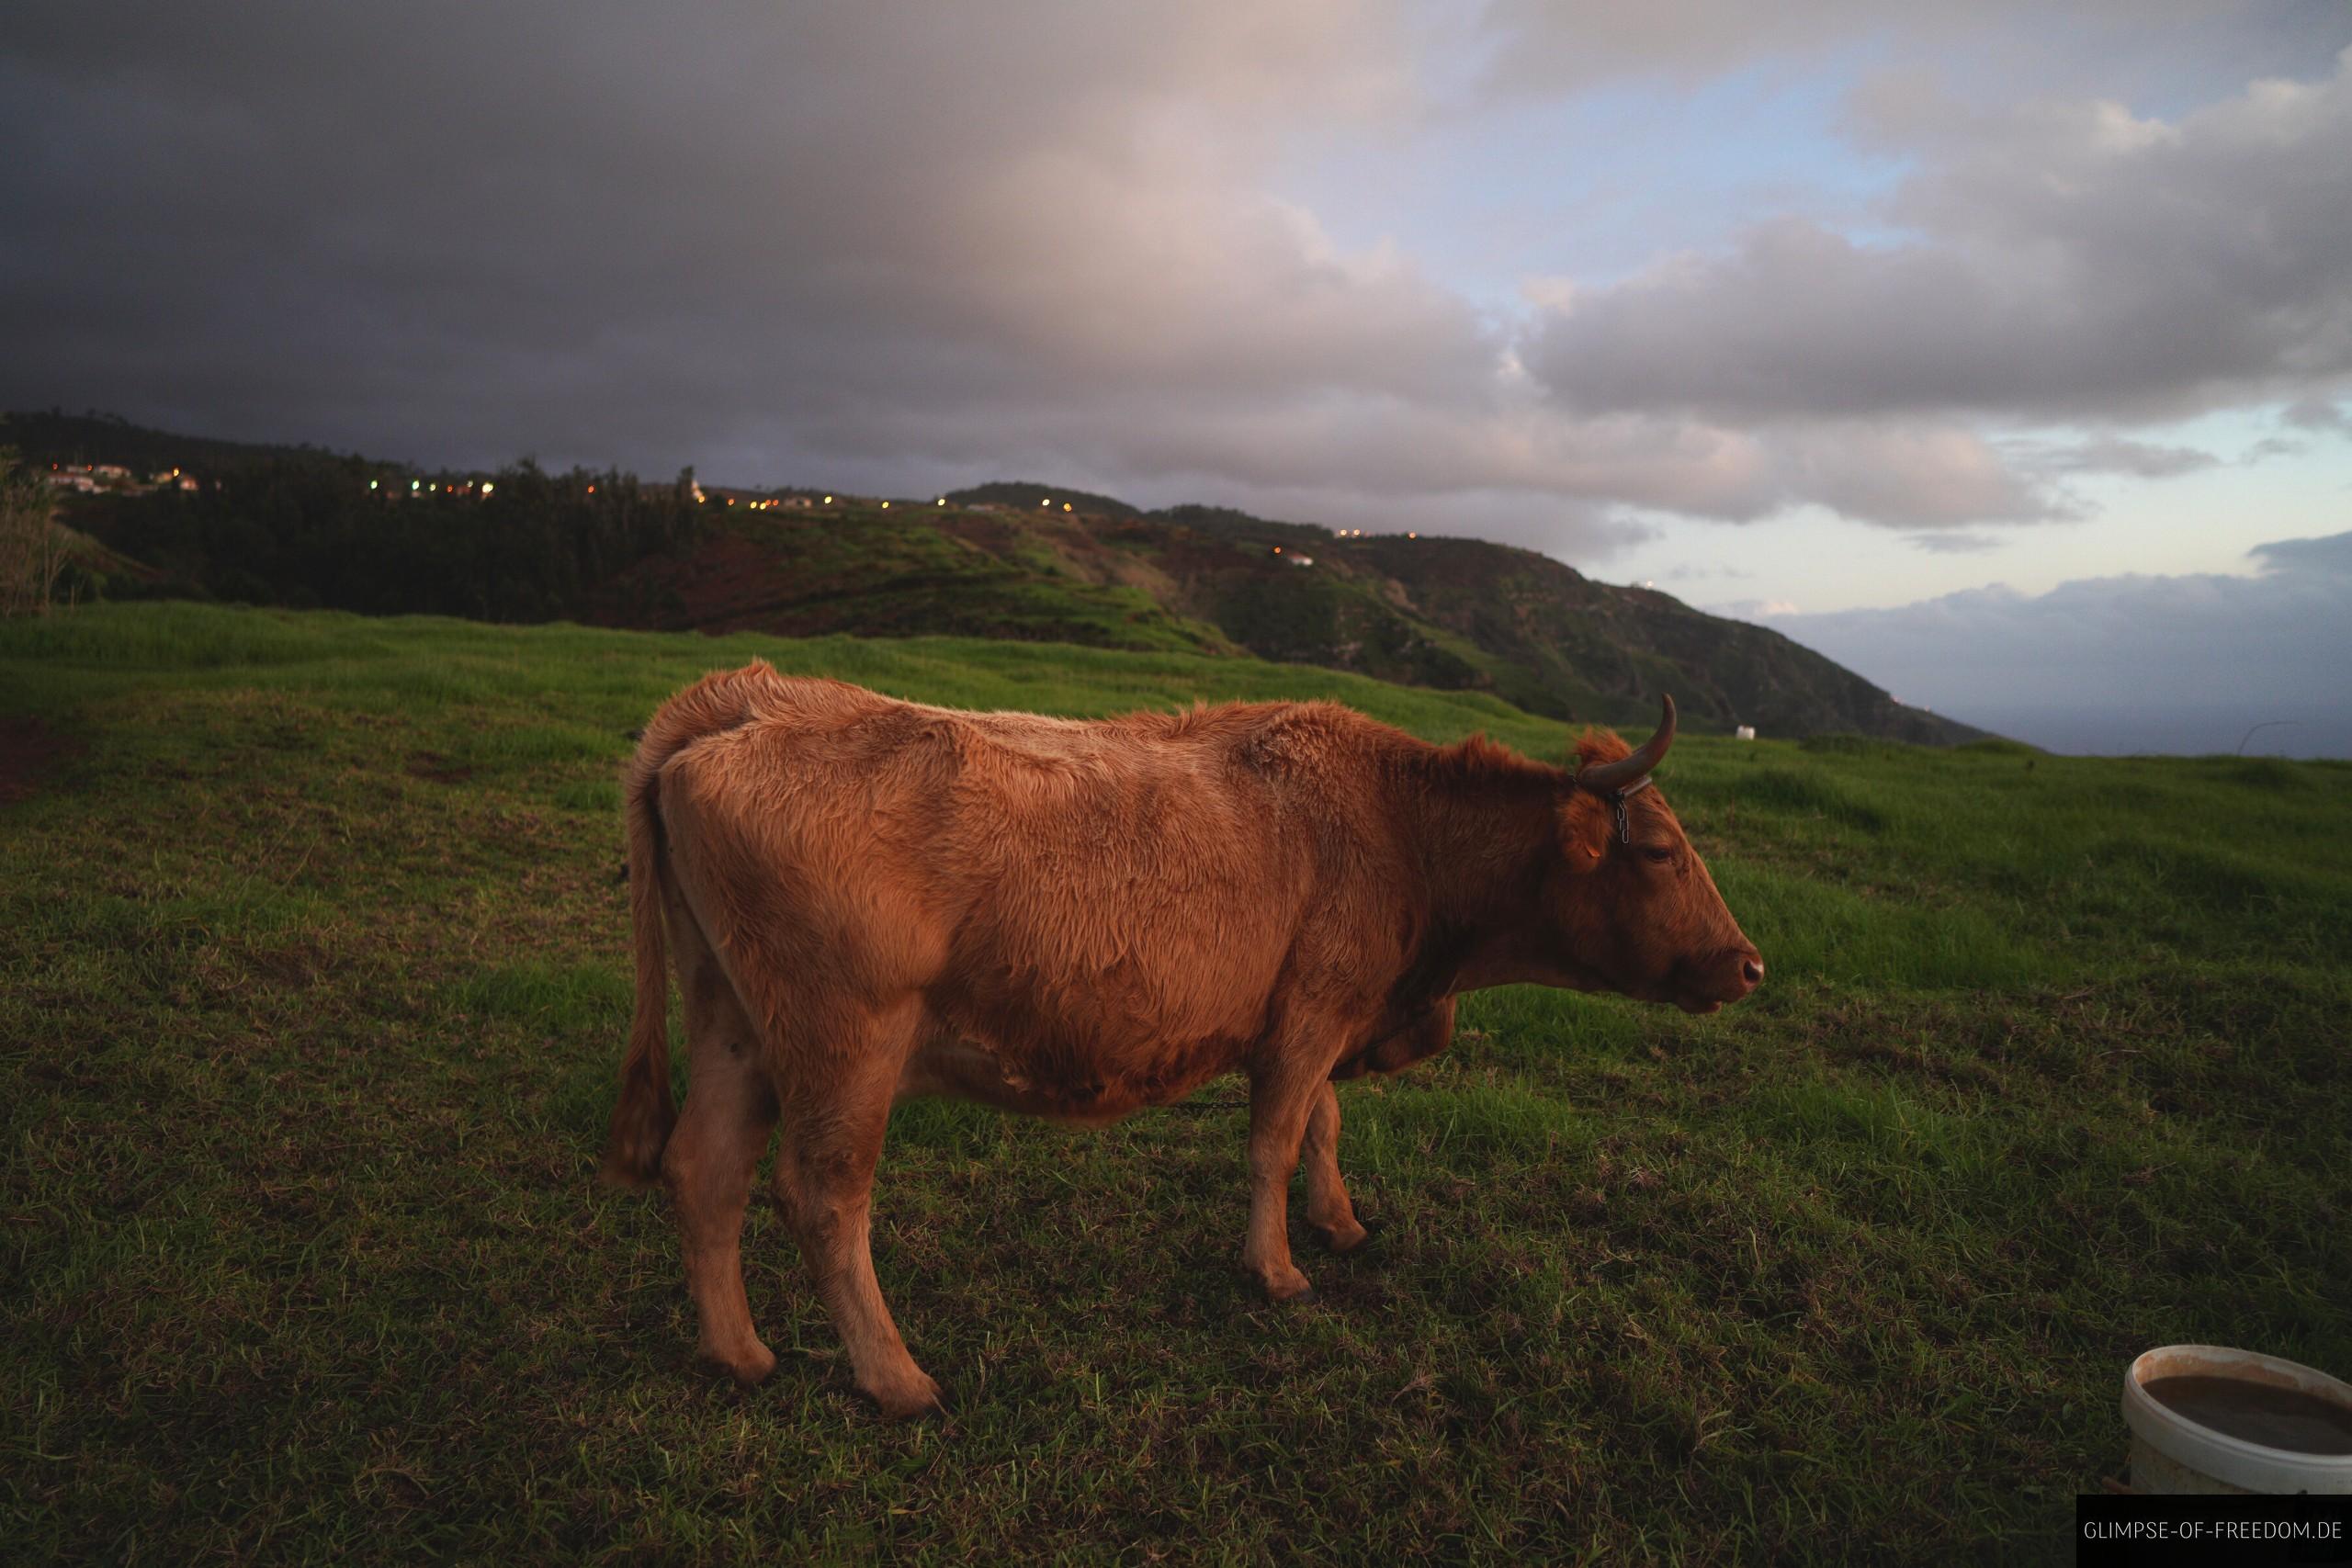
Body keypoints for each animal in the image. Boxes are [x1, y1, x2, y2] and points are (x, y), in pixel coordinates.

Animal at [597, 658, 1758, 1419]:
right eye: (1660, 850)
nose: (1748, 965)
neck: (1398, 831)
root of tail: (743, 698)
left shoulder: (1317, 1012)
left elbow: (1324, 1128)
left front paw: (1338, 1225)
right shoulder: (1308, 1016)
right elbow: (1275, 1141)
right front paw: (1276, 1272)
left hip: (735, 1024)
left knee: (706, 1170)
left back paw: (740, 1356)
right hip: (846, 1043)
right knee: (821, 1196)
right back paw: (896, 1379)